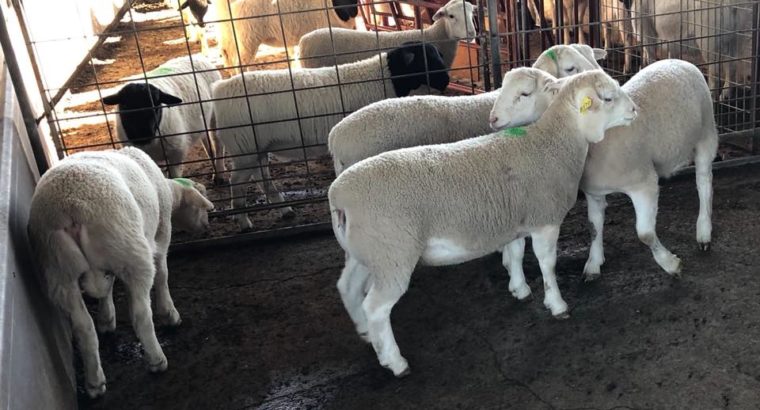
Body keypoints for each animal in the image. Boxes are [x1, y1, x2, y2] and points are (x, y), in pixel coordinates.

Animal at [26, 146, 214, 398]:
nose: (206, 227)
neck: (168, 192)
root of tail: (70, 208)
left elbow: (106, 288)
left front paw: (107, 319)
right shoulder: (161, 232)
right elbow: (163, 273)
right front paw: (169, 312)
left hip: (58, 271)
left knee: (83, 327)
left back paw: (95, 382)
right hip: (132, 252)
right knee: (140, 314)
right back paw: (157, 359)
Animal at [102, 55, 226, 184]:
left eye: (156, 104)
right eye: (125, 105)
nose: (143, 134)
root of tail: (195, 56)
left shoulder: (176, 153)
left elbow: (175, 177)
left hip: (214, 116)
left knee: (217, 143)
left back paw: (219, 173)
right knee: (206, 141)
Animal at [212, 42, 450, 230]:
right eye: (426, 59)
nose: (447, 80)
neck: (382, 78)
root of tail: (219, 90)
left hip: (255, 147)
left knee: (261, 177)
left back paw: (284, 209)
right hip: (244, 147)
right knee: (238, 183)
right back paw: (244, 222)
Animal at [328, 70, 638, 376]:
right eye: (608, 98)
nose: (635, 109)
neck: (550, 144)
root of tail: (338, 195)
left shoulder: (514, 220)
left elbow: (516, 254)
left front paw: (519, 289)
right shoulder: (545, 220)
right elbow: (547, 264)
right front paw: (557, 304)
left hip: (368, 253)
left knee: (348, 287)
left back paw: (365, 333)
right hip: (393, 255)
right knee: (376, 308)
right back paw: (394, 361)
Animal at [490, 58, 718, 282]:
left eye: (525, 94)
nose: (492, 119)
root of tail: (680, 61)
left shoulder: (643, 183)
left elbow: (645, 233)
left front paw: (670, 264)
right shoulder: (594, 191)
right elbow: (594, 227)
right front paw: (594, 263)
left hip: (707, 134)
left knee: (704, 182)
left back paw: (704, 231)